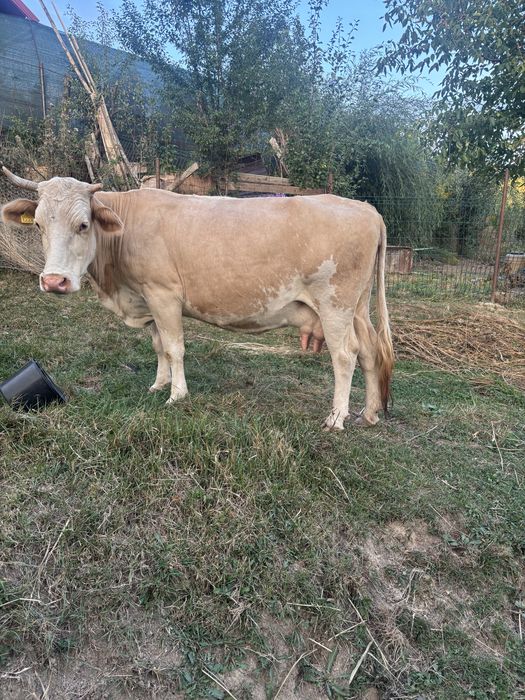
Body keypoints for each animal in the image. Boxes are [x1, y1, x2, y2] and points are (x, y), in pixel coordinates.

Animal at [1, 166, 394, 430]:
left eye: (83, 225)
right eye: (39, 225)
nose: (54, 281)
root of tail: (366, 208)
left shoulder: (163, 294)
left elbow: (175, 347)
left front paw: (176, 394)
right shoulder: (147, 298)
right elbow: (159, 345)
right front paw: (158, 384)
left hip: (335, 305)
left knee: (345, 356)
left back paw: (336, 417)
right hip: (357, 307)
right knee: (370, 351)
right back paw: (370, 413)